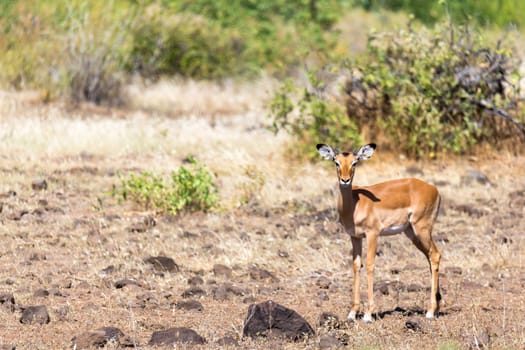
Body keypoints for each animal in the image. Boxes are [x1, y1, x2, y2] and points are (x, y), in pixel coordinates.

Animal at [318, 143, 440, 322]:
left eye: (355, 162)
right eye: (336, 161)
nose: (345, 180)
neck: (354, 204)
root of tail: (434, 189)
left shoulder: (372, 234)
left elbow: (369, 264)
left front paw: (368, 314)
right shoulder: (355, 237)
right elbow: (356, 265)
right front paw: (352, 312)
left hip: (422, 229)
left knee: (435, 255)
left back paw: (430, 311)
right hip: (412, 233)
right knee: (431, 258)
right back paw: (437, 307)